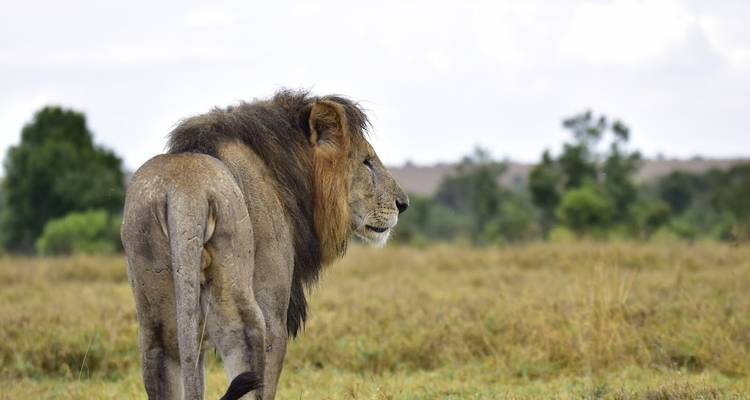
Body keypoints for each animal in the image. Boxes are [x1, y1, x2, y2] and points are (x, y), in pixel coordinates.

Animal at [121, 89, 409, 400]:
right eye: (367, 162)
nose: (403, 204)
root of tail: (184, 193)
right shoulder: (273, 306)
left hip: (155, 285)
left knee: (162, 348)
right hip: (240, 287)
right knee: (242, 342)